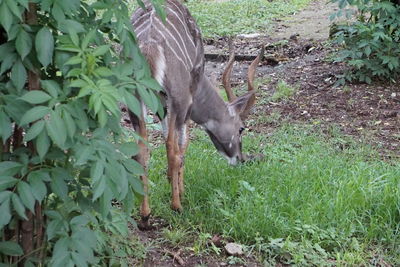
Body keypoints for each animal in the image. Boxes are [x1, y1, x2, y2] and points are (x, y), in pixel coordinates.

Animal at [131, 0, 262, 226]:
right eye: (241, 129)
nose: (241, 159)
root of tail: (148, 44)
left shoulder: (161, 104)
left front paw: (170, 180)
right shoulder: (186, 101)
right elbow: (183, 145)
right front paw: (180, 191)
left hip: (134, 99)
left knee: (142, 151)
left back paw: (145, 215)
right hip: (178, 98)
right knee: (172, 149)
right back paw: (176, 206)